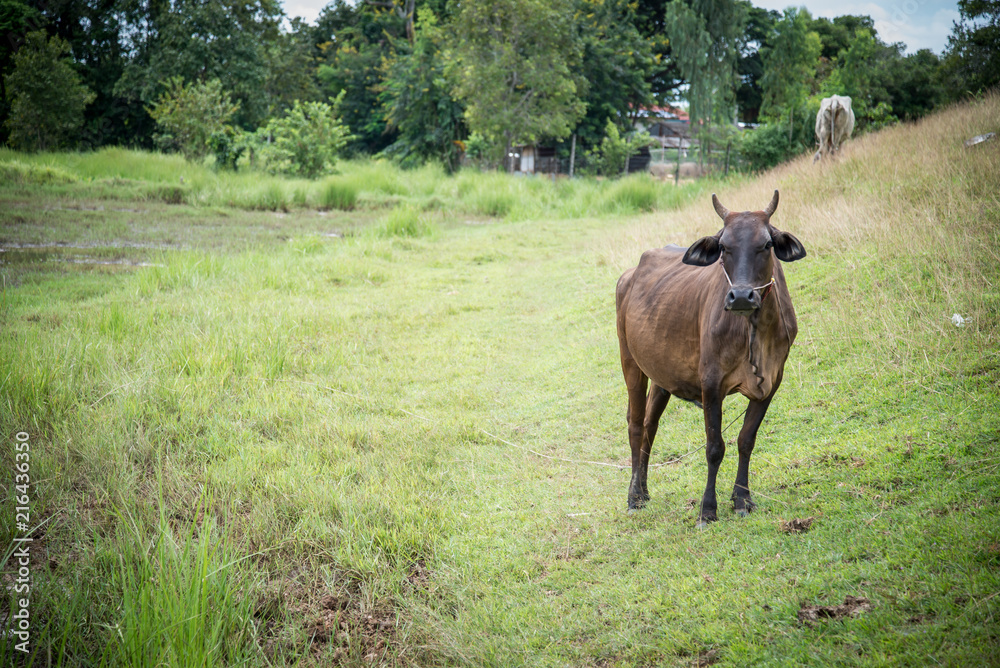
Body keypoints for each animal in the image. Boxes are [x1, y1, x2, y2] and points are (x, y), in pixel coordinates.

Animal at [615, 190, 806, 527]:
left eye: (767, 244)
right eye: (723, 247)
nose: (741, 296)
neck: (753, 331)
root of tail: (629, 275)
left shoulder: (772, 381)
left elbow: (746, 439)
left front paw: (742, 499)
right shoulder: (711, 382)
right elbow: (715, 447)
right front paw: (707, 509)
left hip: (662, 376)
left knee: (651, 424)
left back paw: (645, 490)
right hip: (631, 363)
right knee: (636, 424)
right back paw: (634, 496)